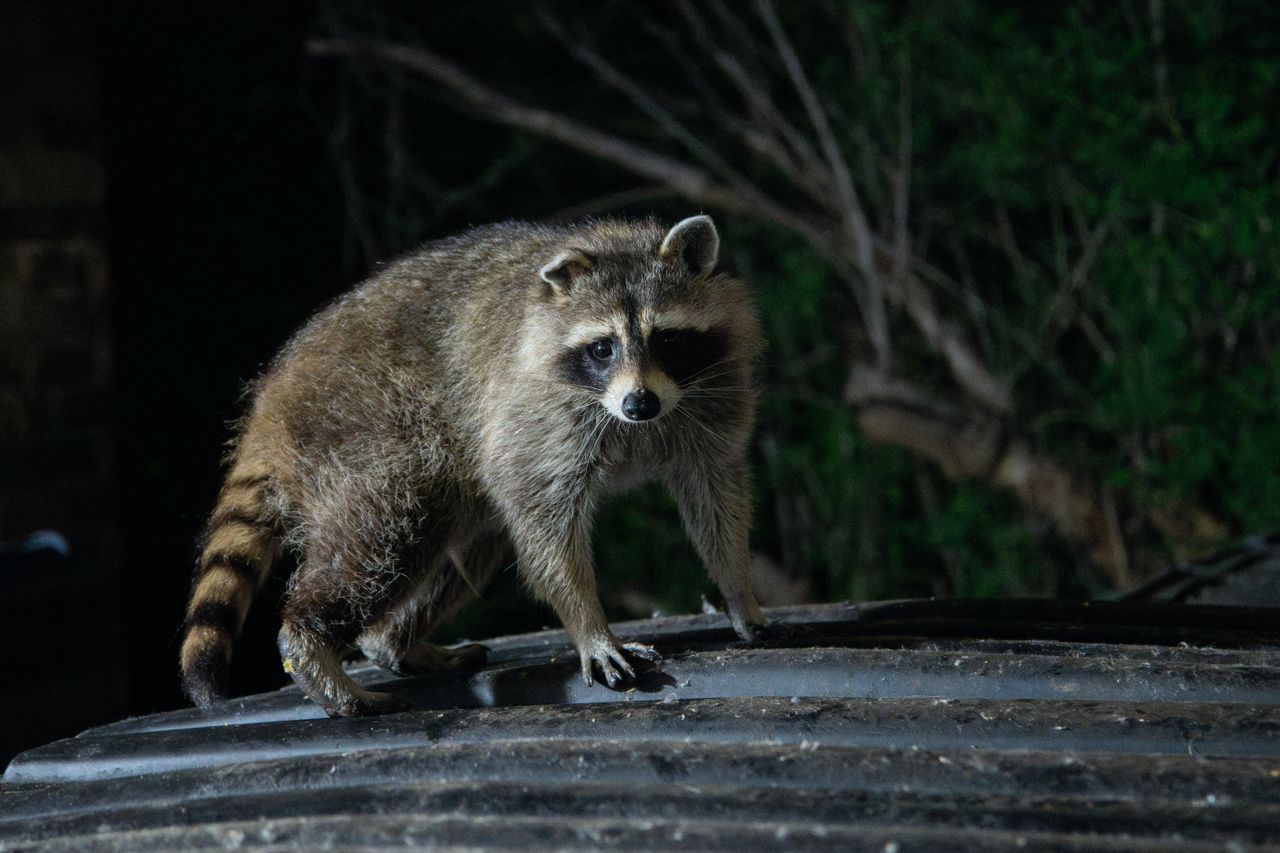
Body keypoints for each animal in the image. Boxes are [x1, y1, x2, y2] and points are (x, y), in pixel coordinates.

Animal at [179, 215, 768, 717]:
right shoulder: (533, 410)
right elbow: (545, 521)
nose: (639, 404)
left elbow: (716, 496)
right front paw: (589, 625)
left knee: (465, 539)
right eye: (602, 348)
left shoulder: (713, 395)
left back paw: (393, 641)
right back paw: (312, 648)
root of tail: (269, 404)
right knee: (385, 533)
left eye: (666, 338)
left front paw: (739, 590)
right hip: (363, 427)